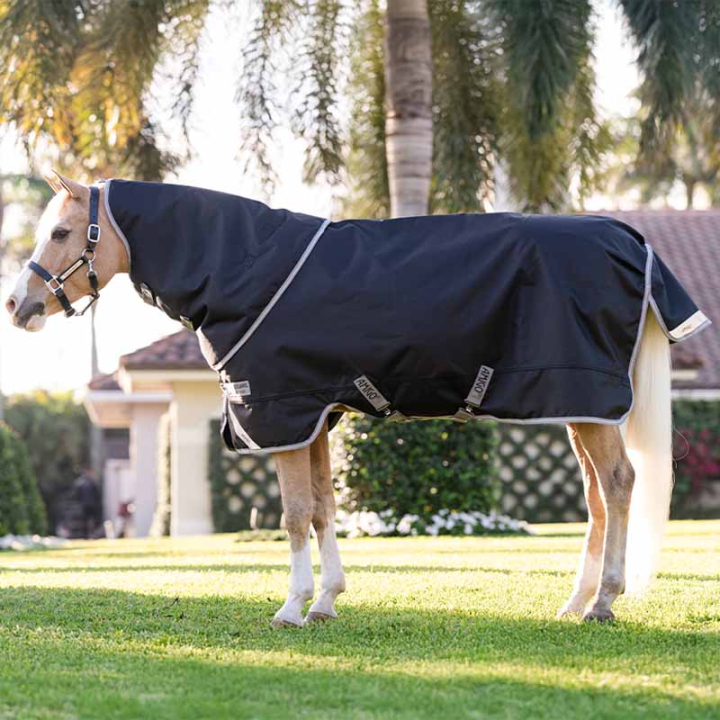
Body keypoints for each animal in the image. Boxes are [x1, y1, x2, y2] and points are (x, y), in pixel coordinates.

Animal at [6, 171, 697, 626]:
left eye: (62, 232)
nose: (18, 305)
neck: (242, 269)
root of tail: (629, 238)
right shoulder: (315, 416)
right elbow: (321, 509)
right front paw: (326, 600)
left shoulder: (282, 412)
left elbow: (291, 515)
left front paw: (290, 607)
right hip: (578, 406)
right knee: (597, 496)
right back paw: (575, 602)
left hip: (588, 400)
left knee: (619, 484)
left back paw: (604, 602)